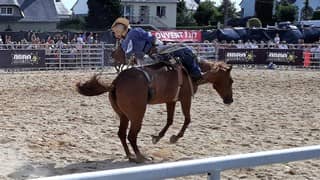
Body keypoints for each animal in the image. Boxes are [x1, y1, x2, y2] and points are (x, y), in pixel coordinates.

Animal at [76, 45, 234, 163]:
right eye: (231, 81)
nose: (230, 100)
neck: (188, 70)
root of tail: (116, 82)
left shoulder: (171, 100)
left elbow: (169, 120)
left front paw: (157, 137)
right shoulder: (186, 98)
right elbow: (187, 119)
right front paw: (175, 137)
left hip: (123, 115)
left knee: (121, 134)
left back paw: (131, 156)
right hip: (137, 114)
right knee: (131, 135)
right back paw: (141, 157)